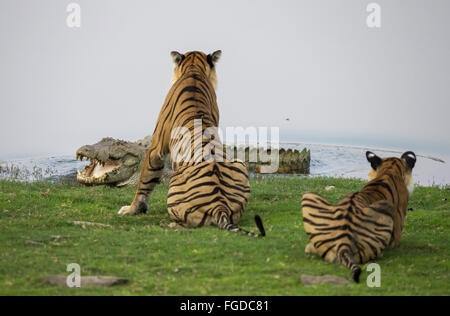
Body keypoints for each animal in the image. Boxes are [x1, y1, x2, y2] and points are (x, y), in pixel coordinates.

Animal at [117, 50, 264, 237]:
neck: (194, 69)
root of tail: (220, 206)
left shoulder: (156, 147)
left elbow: (145, 180)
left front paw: (131, 210)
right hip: (239, 163)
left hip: (174, 185)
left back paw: (169, 225)